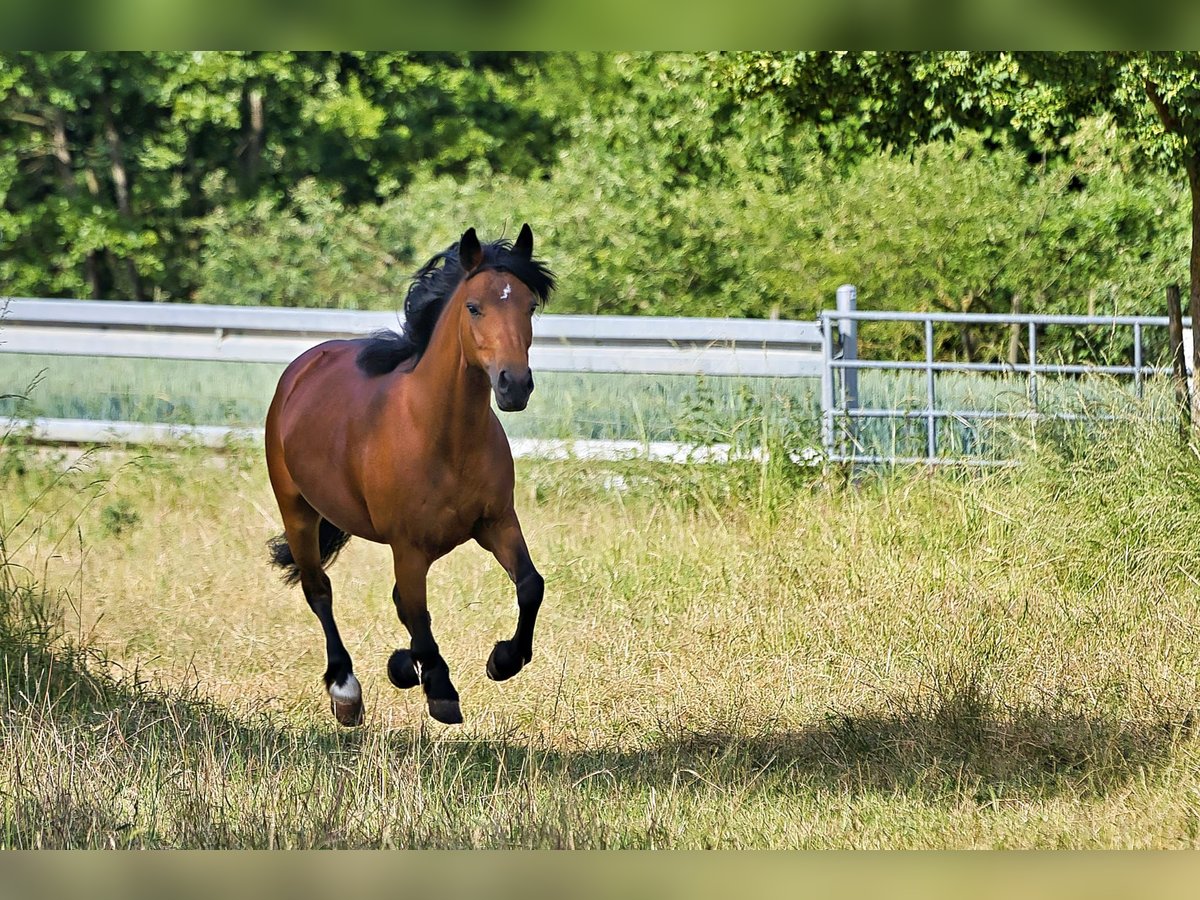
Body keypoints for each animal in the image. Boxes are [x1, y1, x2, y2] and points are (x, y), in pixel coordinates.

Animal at [264, 224, 555, 726]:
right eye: (473, 306)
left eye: (528, 306)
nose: (514, 385)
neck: (442, 436)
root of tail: (302, 368)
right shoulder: (409, 546)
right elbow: (418, 614)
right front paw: (439, 688)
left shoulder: (497, 523)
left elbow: (529, 586)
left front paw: (502, 660)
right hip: (297, 511)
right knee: (319, 591)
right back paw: (346, 690)